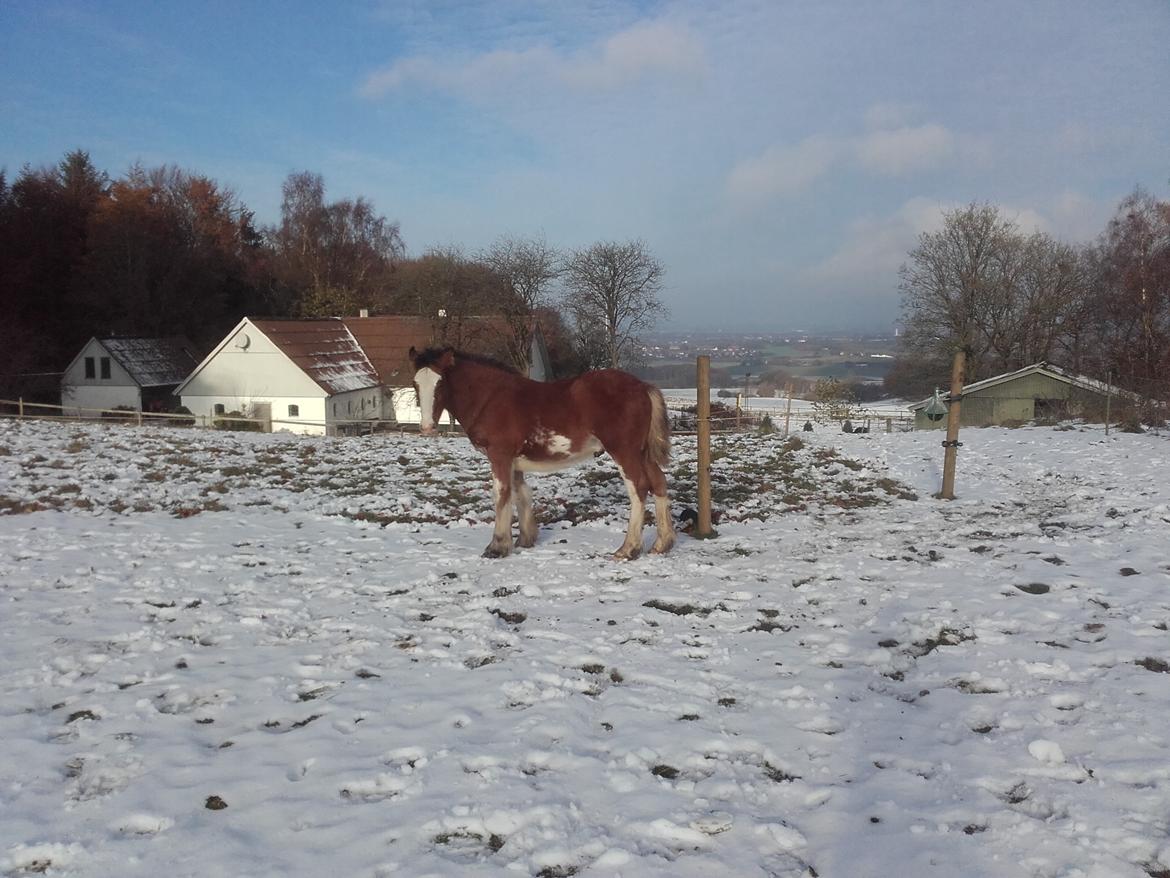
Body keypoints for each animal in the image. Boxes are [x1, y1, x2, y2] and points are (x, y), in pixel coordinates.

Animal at [409, 346, 678, 559]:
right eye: (415, 383)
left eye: (440, 383)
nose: (427, 427)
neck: (490, 398)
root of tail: (643, 387)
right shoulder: (514, 461)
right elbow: (521, 493)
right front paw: (525, 539)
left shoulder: (499, 455)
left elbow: (501, 495)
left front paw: (497, 546)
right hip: (642, 453)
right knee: (658, 482)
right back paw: (662, 544)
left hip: (625, 451)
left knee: (639, 489)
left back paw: (628, 549)